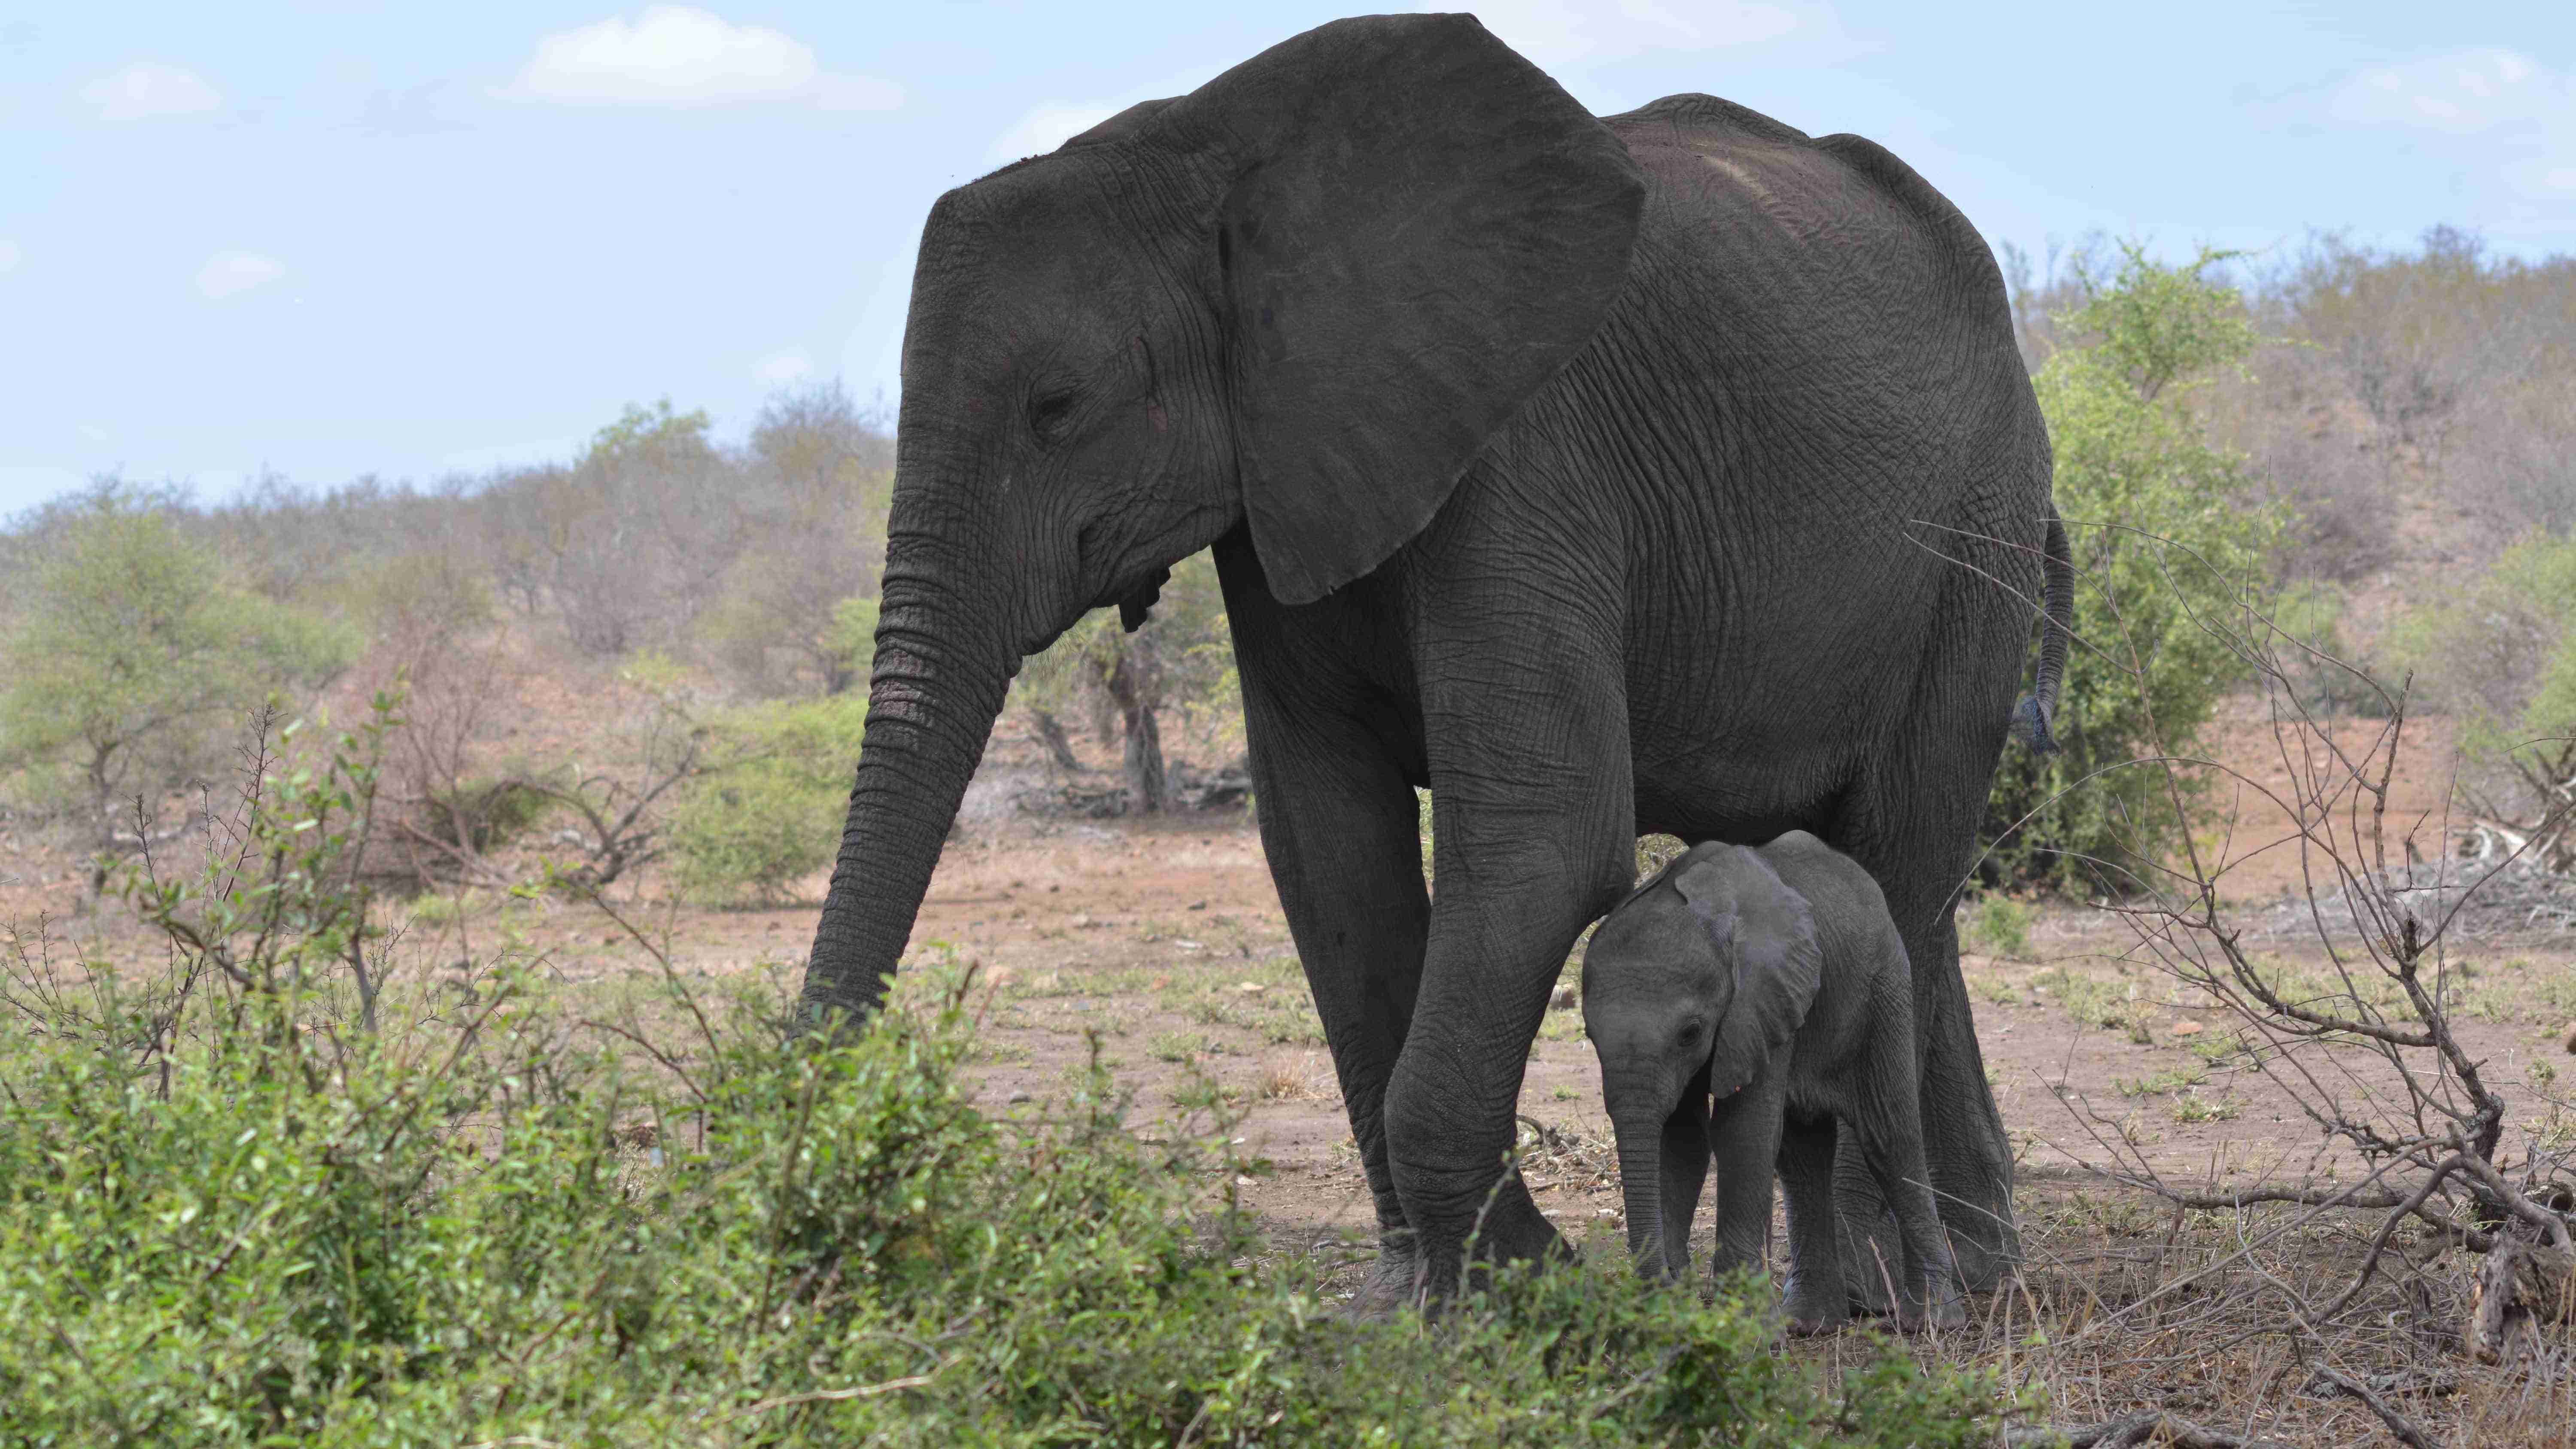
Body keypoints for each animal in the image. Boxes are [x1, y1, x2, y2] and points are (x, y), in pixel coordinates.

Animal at [1583, 833, 1962, 1334]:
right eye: (1589, 1035)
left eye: (1691, 1032)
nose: (1668, 1284)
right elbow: (1682, 1141)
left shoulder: (1763, 999)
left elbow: (1741, 1135)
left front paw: (1742, 1332)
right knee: (1803, 1154)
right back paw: (1811, 1323)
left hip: (1886, 985)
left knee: (1890, 1136)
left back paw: (1933, 1320)